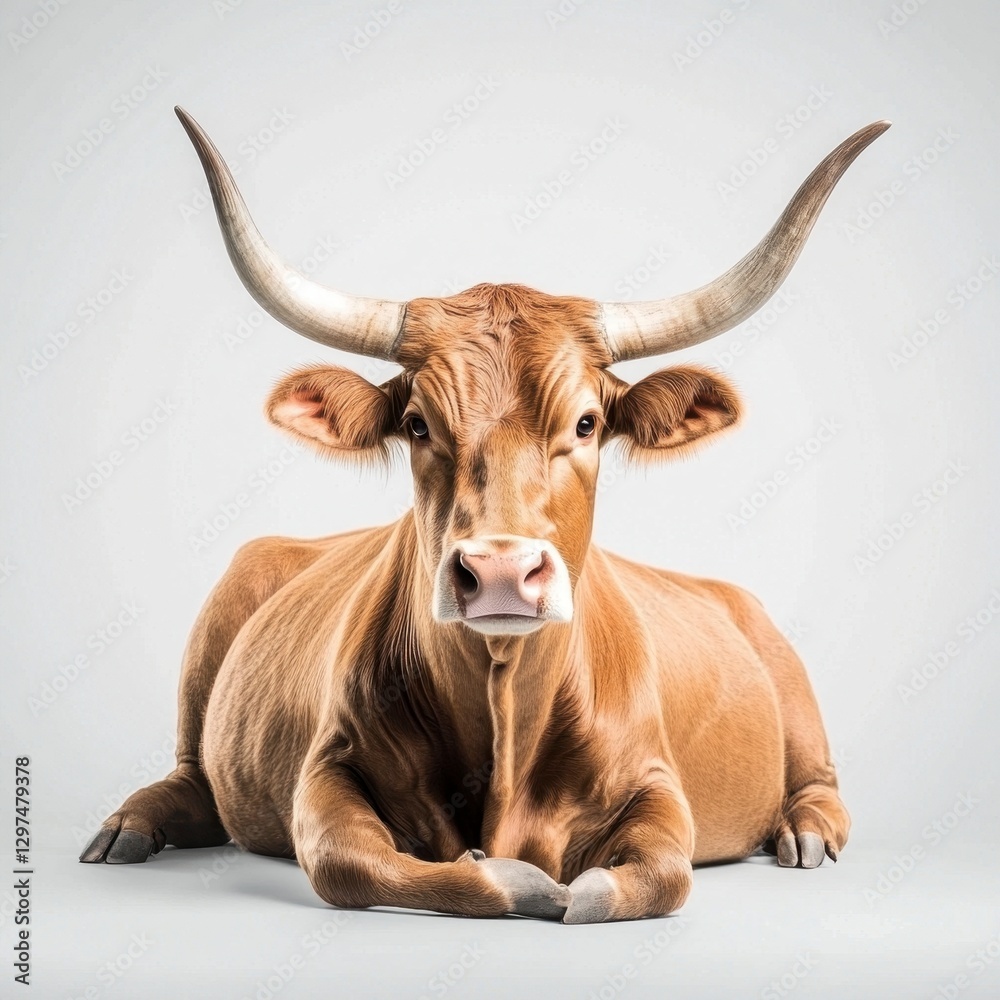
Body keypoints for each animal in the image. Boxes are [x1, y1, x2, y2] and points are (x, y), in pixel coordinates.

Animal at [80, 108, 888, 923]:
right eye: (416, 425)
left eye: (588, 424)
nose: (500, 571)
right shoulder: (327, 766)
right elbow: (353, 861)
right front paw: (517, 880)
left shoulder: (658, 784)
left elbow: (654, 877)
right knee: (191, 777)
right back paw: (129, 826)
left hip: (792, 690)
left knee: (820, 785)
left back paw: (805, 833)